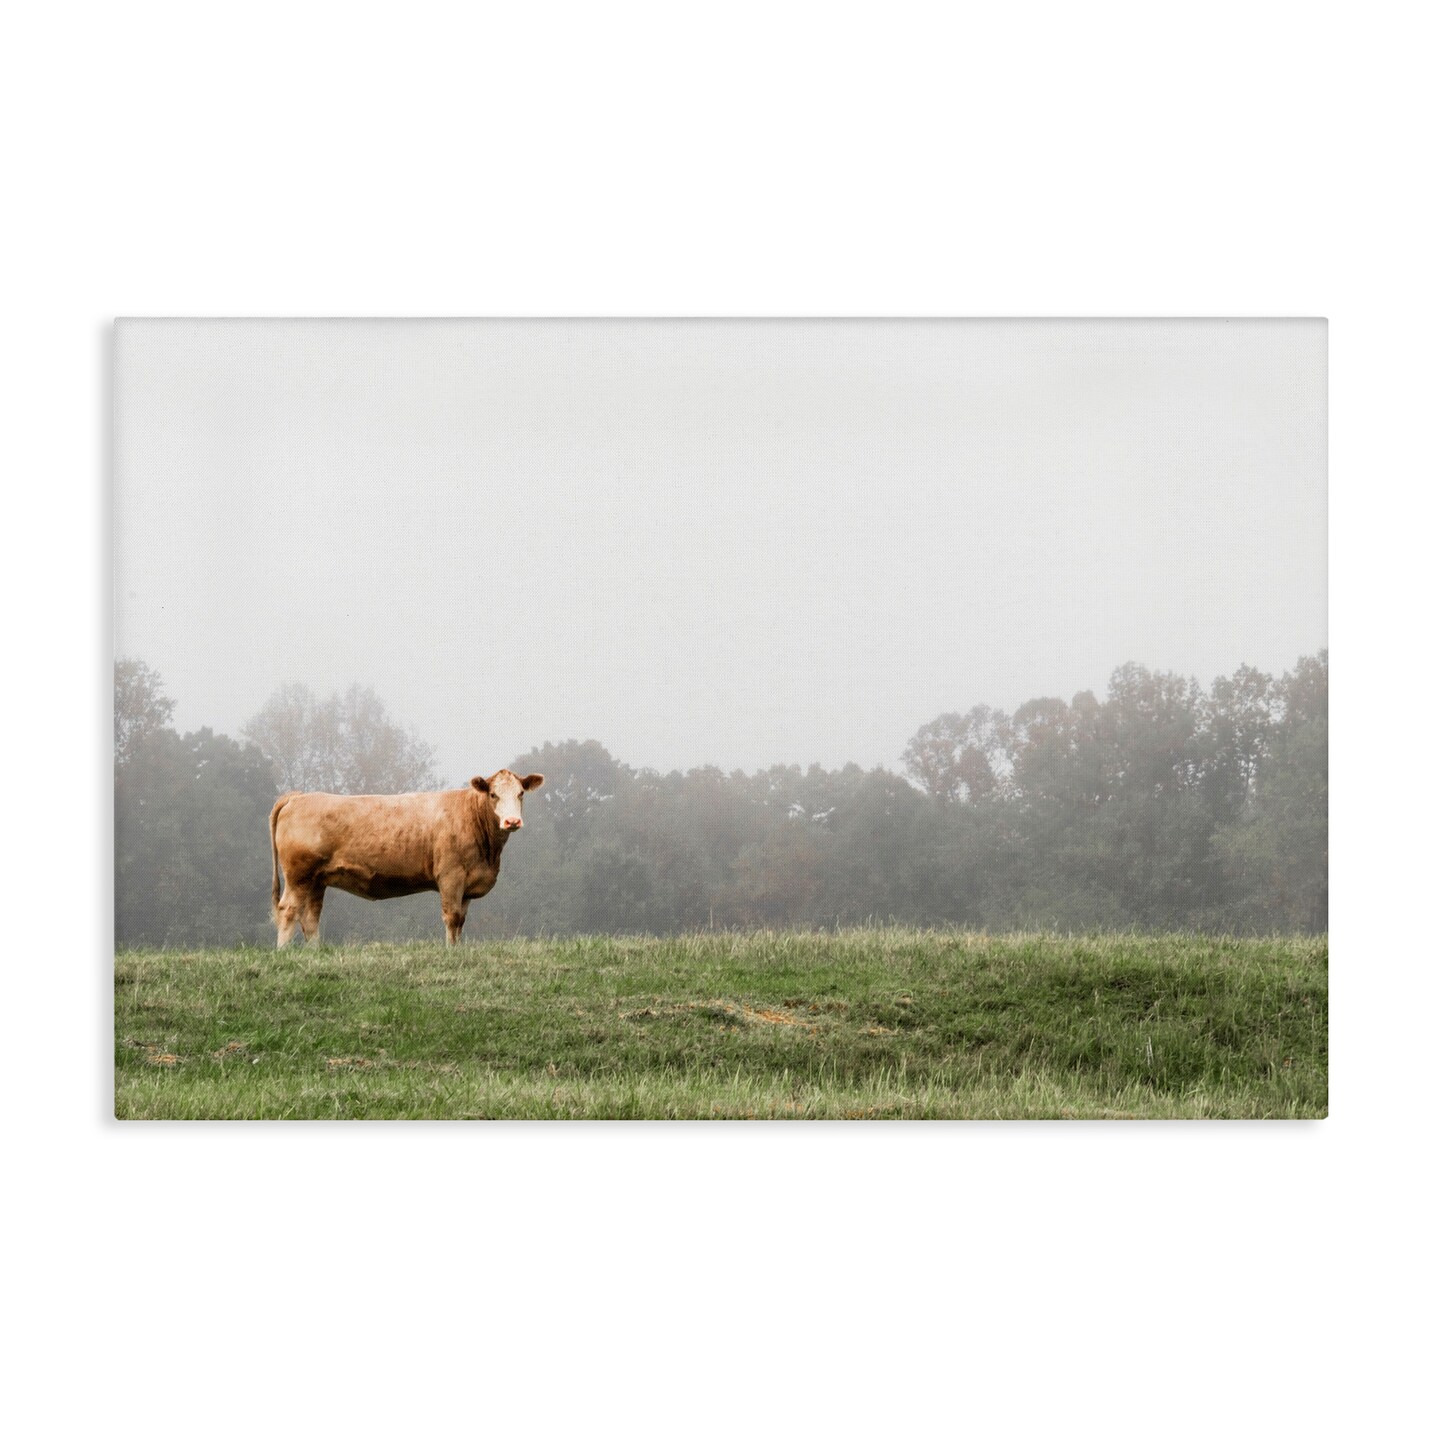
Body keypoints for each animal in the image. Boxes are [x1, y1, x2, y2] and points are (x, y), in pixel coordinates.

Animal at [268, 770, 544, 947]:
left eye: (521, 793)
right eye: (493, 795)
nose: (512, 821)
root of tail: (298, 796)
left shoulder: (467, 884)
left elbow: (461, 920)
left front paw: (458, 950)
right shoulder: (451, 875)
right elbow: (452, 917)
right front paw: (450, 953)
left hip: (317, 880)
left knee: (310, 917)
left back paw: (314, 953)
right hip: (299, 874)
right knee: (288, 910)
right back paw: (283, 953)